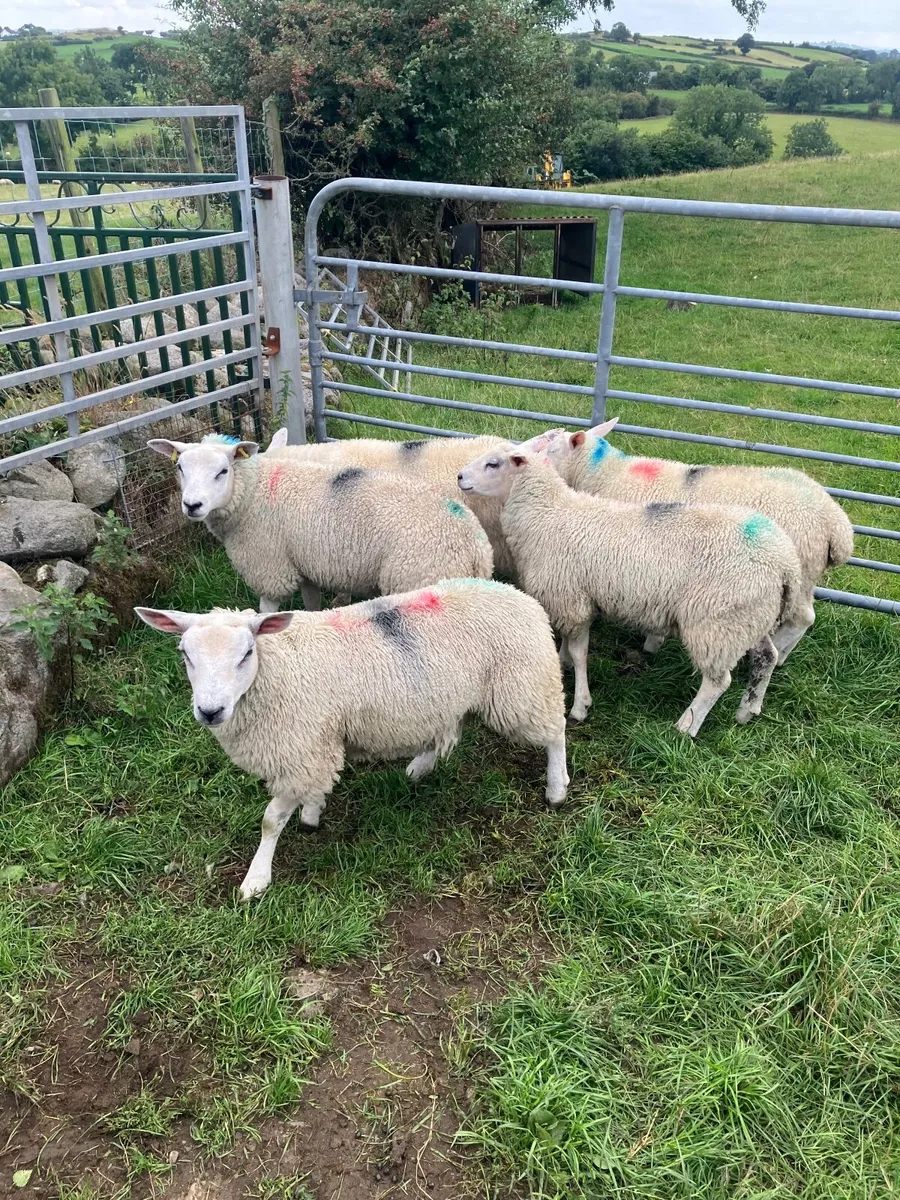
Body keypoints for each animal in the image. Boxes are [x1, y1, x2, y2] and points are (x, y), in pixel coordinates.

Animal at [135, 579, 570, 898]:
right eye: (185, 653)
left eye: (246, 653)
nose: (210, 711)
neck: (280, 667)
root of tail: (522, 597)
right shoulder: (316, 744)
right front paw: (312, 813)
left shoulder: (302, 748)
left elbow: (271, 821)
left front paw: (256, 879)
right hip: (454, 694)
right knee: (452, 727)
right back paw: (421, 765)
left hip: (523, 687)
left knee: (556, 731)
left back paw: (556, 787)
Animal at [147, 434, 493, 613]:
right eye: (179, 467)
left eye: (223, 471)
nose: (192, 505)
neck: (256, 490)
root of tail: (475, 546)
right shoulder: (305, 564)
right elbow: (311, 602)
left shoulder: (270, 568)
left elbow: (267, 608)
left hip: (417, 581)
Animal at [458, 446, 806, 737]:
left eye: (493, 463)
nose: (460, 476)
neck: (548, 513)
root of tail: (785, 562)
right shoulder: (574, 598)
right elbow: (569, 644)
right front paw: (563, 664)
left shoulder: (571, 598)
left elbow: (580, 652)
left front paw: (580, 705)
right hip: (749, 616)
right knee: (766, 658)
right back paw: (748, 711)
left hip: (717, 621)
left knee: (718, 681)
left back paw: (687, 726)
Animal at [526, 418, 854, 665]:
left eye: (552, 448)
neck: (602, 473)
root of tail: (837, 524)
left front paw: (652, 640)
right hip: (805, 577)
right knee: (807, 616)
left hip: (800, 569)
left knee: (800, 618)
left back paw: (778, 653)